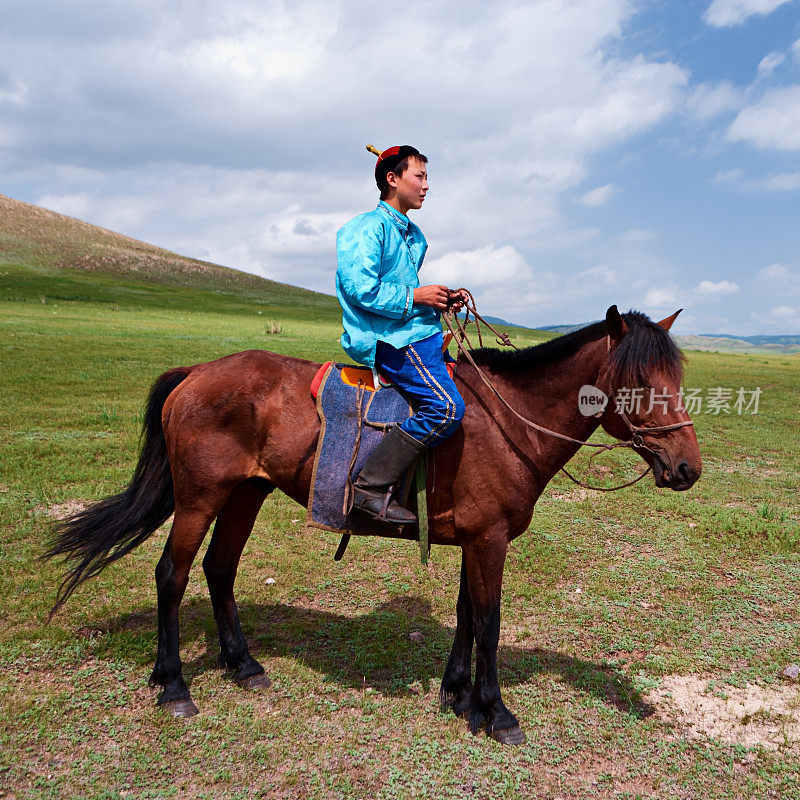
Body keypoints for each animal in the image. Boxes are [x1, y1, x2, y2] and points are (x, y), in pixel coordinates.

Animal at [48, 306, 700, 744]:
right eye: (639, 382)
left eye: (677, 379)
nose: (687, 468)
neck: (509, 421)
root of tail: (198, 371)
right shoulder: (489, 540)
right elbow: (489, 623)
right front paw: (495, 712)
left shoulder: (474, 539)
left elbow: (467, 615)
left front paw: (458, 695)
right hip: (200, 497)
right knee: (172, 575)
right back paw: (174, 686)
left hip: (245, 493)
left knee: (219, 569)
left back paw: (244, 665)